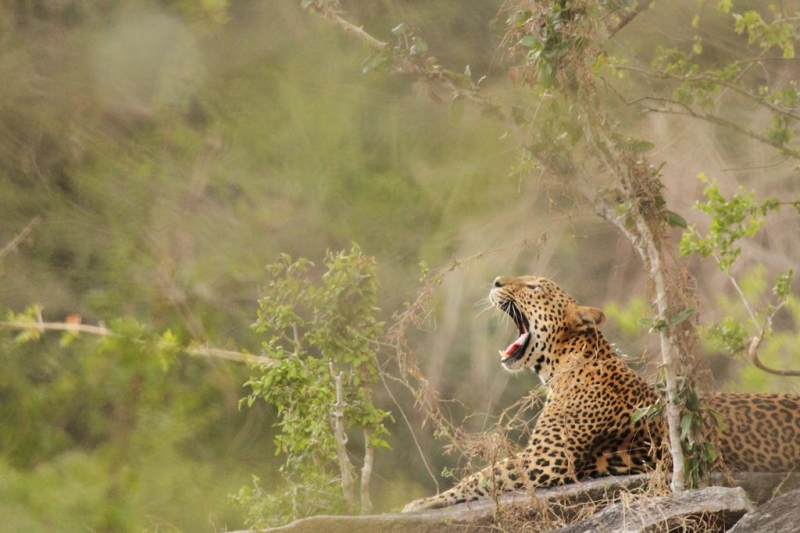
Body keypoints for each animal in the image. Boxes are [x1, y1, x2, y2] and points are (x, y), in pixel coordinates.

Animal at [402, 275, 800, 512]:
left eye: (534, 287)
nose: (497, 279)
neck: (562, 366)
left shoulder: (545, 460)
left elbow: (483, 476)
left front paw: (419, 504)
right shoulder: (539, 458)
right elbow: (484, 475)